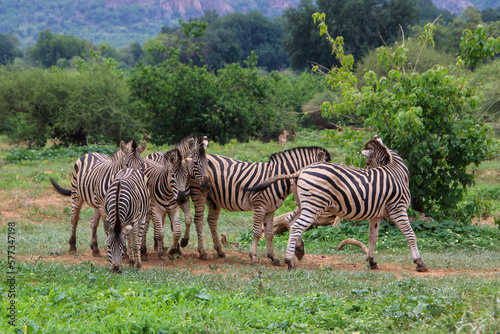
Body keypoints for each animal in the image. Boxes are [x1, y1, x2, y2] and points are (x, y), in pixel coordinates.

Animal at [189, 147, 330, 264]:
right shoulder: (259, 205)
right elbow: (257, 232)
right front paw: (253, 257)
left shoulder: (270, 209)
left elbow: (269, 233)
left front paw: (273, 257)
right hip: (199, 192)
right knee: (199, 220)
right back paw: (202, 252)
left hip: (213, 199)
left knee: (211, 221)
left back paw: (220, 251)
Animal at [244, 135, 428, 272]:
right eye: (368, 164)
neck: (396, 170)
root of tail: (300, 171)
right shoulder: (398, 209)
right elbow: (410, 234)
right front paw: (419, 262)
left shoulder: (377, 214)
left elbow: (373, 237)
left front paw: (371, 261)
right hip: (314, 206)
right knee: (296, 226)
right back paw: (289, 261)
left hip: (303, 204)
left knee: (290, 221)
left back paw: (298, 250)